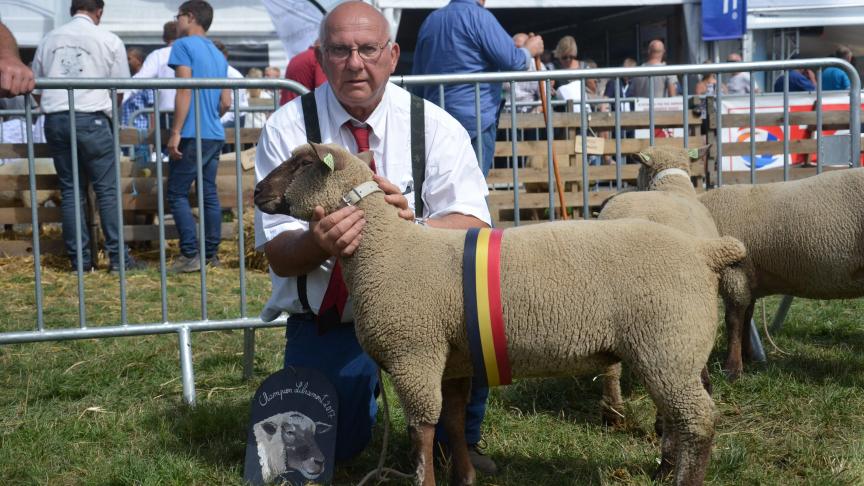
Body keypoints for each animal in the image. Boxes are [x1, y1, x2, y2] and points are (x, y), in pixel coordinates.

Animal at [253, 143, 744, 486]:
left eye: (301, 163)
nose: (257, 191)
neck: (385, 248)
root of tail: (706, 251)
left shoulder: (415, 354)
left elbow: (421, 430)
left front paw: (426, 478)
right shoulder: (452, 359)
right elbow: (452, 421)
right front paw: (465, 476)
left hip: (665, 343)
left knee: (698, 420)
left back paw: (683, 477)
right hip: (677, 345)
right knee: (687, 410)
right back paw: (664, 467)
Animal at [700, 169, 864, 378]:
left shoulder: (734, 271)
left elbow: (734, 320)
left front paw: (732, 369)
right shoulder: (748, 276)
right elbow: (747, 317)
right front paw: (748, 357)